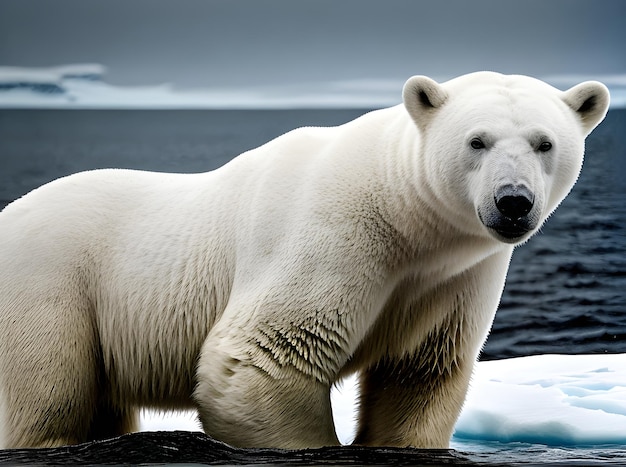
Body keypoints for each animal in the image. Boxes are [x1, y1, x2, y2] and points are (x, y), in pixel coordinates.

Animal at [0, 72, 604, 450]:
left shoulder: (452, 276)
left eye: (545, 143)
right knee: (47, 388)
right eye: (477, 141)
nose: (513, 201)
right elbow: (264, 356)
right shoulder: (333, 233)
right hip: (50, 285)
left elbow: (420, 371)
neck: (404, 214)